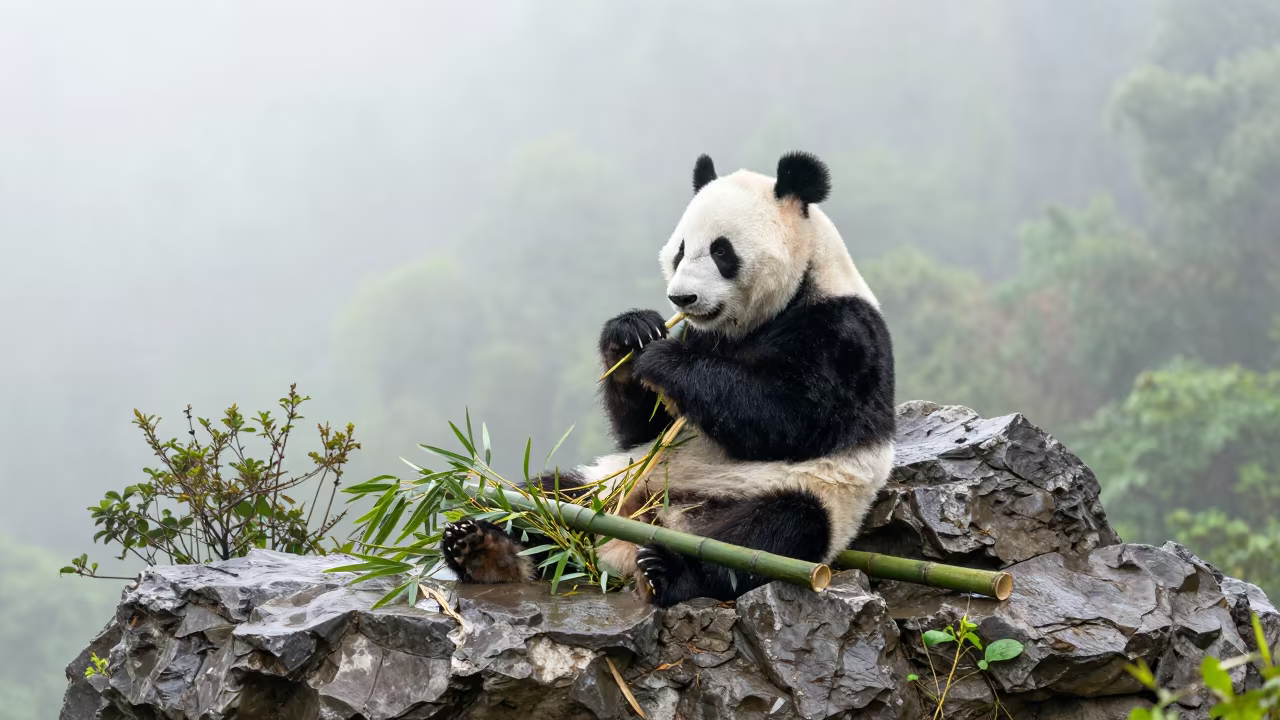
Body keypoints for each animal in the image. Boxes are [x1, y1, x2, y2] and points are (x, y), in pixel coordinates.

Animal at [442, 151, 895, 607]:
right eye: (680, 251)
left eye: (721, 252)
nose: (682, 298)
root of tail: (633, 534)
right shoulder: (700, 334)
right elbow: (645, 426)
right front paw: (632, 334)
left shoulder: (841, 334)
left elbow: (791, 417)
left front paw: (663, 358)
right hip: (607, 483)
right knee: (539, 498)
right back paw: (481, 546)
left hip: (802, 499)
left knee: (772, 533)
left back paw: (667, 572)